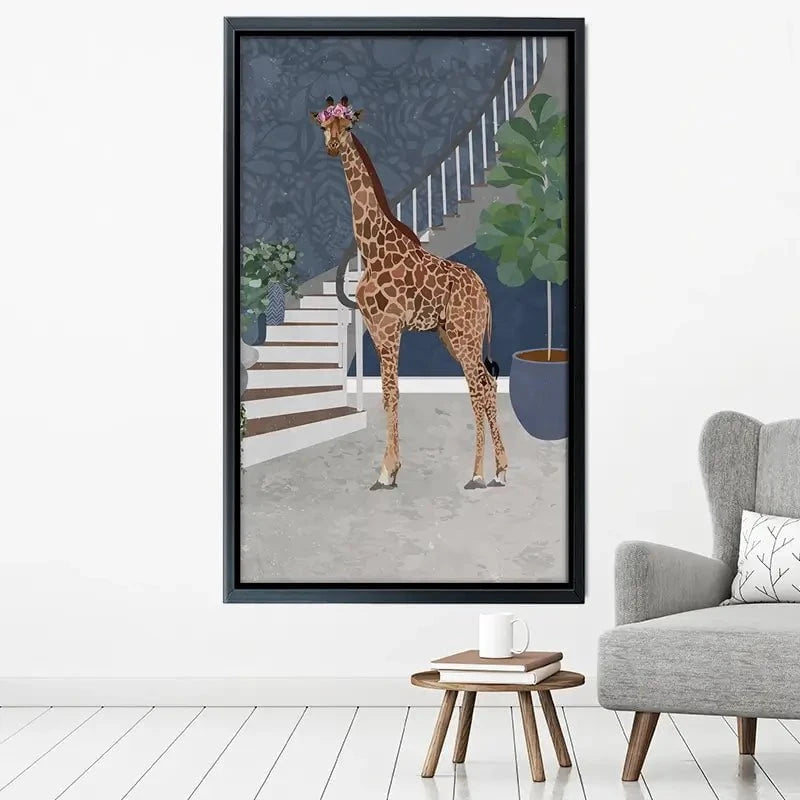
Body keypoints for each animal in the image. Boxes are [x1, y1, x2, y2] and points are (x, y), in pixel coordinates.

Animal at [311, 97, 508, 490]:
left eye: (349, 126)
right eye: (324, 127)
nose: (333, 147)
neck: (372, 249)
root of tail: (484, 290)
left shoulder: (389, 328)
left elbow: (393, 391)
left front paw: (387, 471)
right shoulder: (374, 330)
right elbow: (388, 396)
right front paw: (391, 469)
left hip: (465, 335)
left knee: (478, 388)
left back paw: (477, 474)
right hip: (453, 335)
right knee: (488, 383)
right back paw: (501, 470)